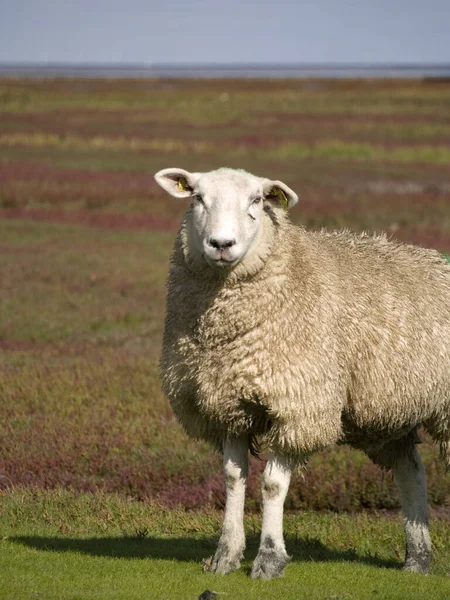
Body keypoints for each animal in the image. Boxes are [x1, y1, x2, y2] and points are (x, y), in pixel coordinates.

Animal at [155, 166, 450, 580]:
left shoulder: (298, 405)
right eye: (197, 197)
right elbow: (233, 478)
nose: (221, 244)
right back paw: (418, 558)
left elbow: (272, 485)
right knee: (411, 471)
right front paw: (225, 556)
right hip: (388, 409)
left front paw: (269, 558)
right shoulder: (227, 405)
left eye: (257, 200)